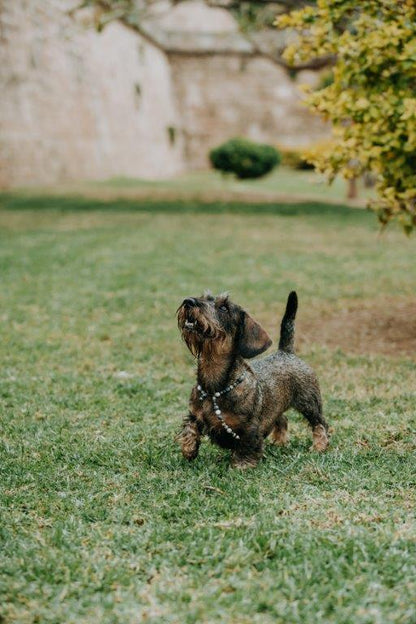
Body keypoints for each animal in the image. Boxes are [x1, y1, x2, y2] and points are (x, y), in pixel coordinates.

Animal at [176, 292, 328, 468]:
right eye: (203, 296)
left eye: (224, 308)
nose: (188, 301)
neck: (214, 389)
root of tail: (286, 352)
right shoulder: (194, 415)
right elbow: (190, 429)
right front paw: (188, 450)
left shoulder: (249, 427)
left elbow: (246, 447)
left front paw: (242, 465)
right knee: (282, 419)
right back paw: (279, 442)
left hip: (309, 402)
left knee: (320, 424)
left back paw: (319, 446)